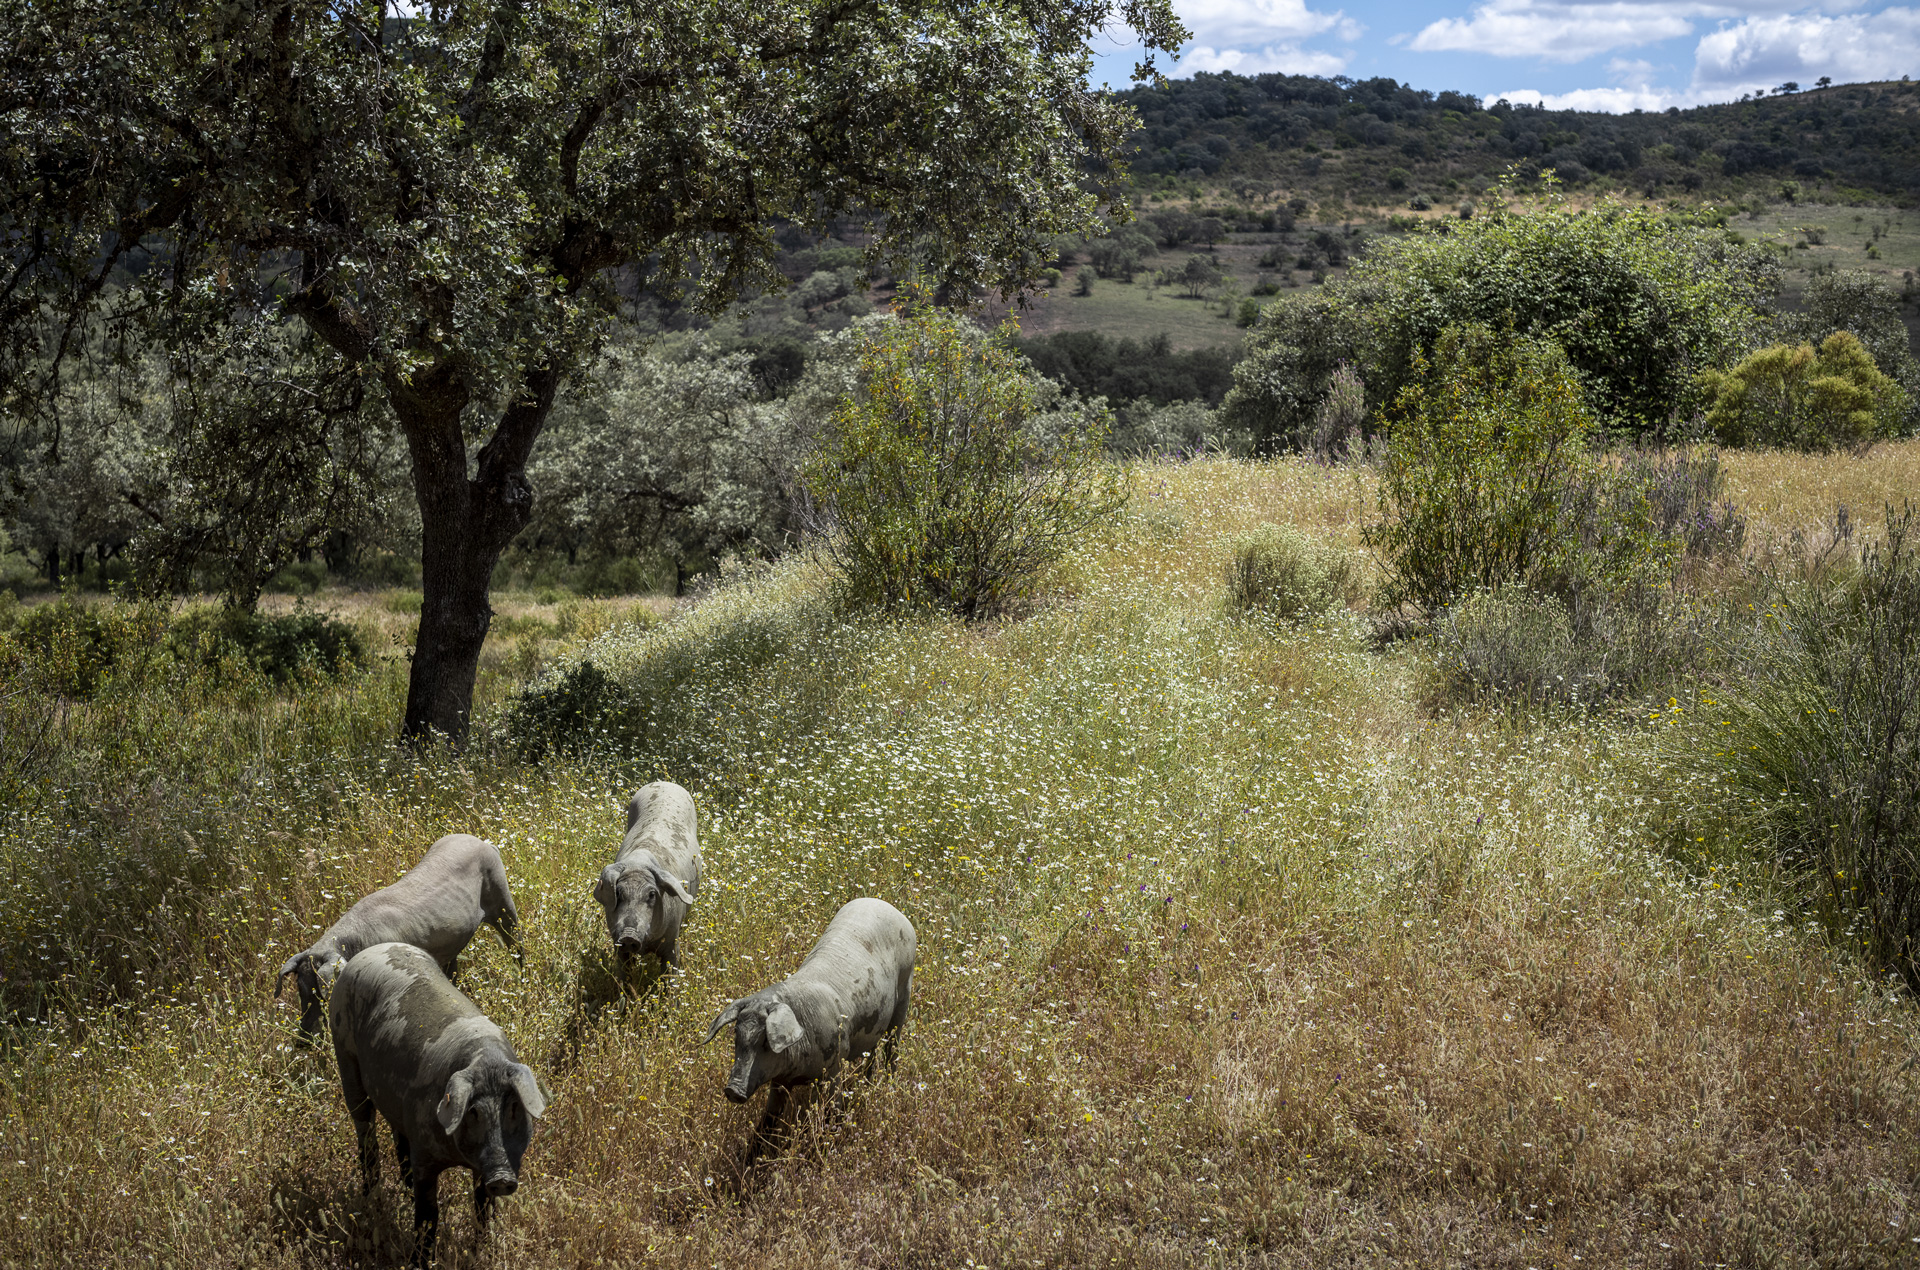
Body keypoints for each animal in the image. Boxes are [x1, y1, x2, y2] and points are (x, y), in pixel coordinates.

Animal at [274, 833, 522, 1037]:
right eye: (300, 989)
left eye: (320, 993)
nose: (302, 1040)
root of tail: (485, 843)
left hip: (502, 897)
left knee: (516, 942)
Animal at [330, 937, 549, 1260]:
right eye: (473, 1111)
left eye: (513, 1108)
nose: (502, 1178)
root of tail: (375, 948)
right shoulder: (424, 1154)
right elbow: (427, 1215)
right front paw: (420, 1260)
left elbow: (482, 1206)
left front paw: (481, 1252)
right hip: (344, 1052)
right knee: (365, 1130)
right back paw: (373, 1199)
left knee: (397, 1135)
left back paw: (403, 1189)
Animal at [706, 895, 913, 1122]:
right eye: (736, 1034)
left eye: (766, 1042)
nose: (732, 1090)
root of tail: (886, 905)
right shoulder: (779, 1080)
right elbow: (770, 1117)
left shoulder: (834, 1066)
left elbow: (833, 1109)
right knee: (872, 1052)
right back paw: (868, 1084)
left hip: (905, 991)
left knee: (892, 1047)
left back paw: (888, 1086)